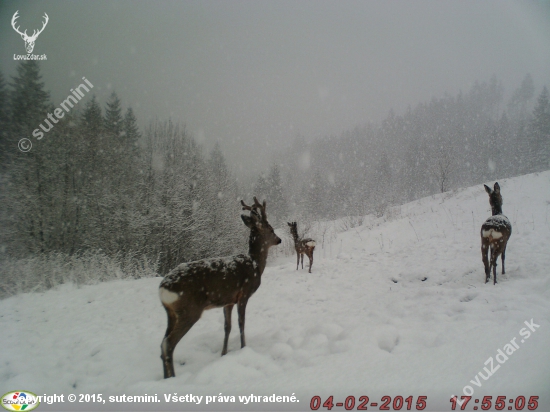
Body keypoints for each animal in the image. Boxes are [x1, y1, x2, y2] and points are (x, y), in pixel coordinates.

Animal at [158, 198, 280, 378]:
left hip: (171, 313)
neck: (255, 263)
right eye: (271, 229)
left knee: (162, 343)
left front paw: (224, 353)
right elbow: (241, 323)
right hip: (189, 310)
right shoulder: (243, 294)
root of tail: (162, 288)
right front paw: (243, 347)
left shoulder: (228, 301)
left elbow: (227, 327)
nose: (279, 239)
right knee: (168, 343)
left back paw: (166, 377)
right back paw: (172, 377)